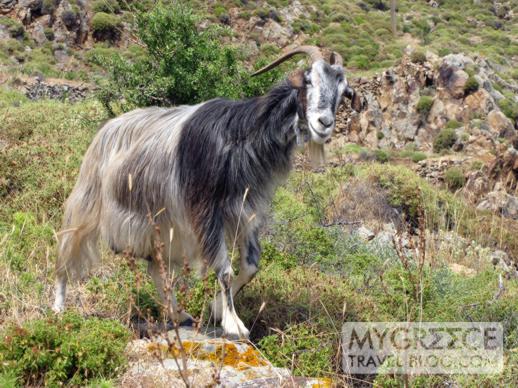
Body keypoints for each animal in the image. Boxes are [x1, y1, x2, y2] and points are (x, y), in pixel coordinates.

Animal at [53, 45, 366, 338]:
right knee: (68, 247)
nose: (324, 123)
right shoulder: (204, 209)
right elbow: (225, 269)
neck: (241, 134)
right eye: (309, 79)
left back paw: (177, 314)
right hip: (91, 201)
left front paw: (216, 308)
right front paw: (234, 324)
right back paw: (58, 308)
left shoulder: (245, 209)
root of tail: (107, 128)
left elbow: (251, 266)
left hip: (162, 224)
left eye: (343, 92)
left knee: (156, 267)